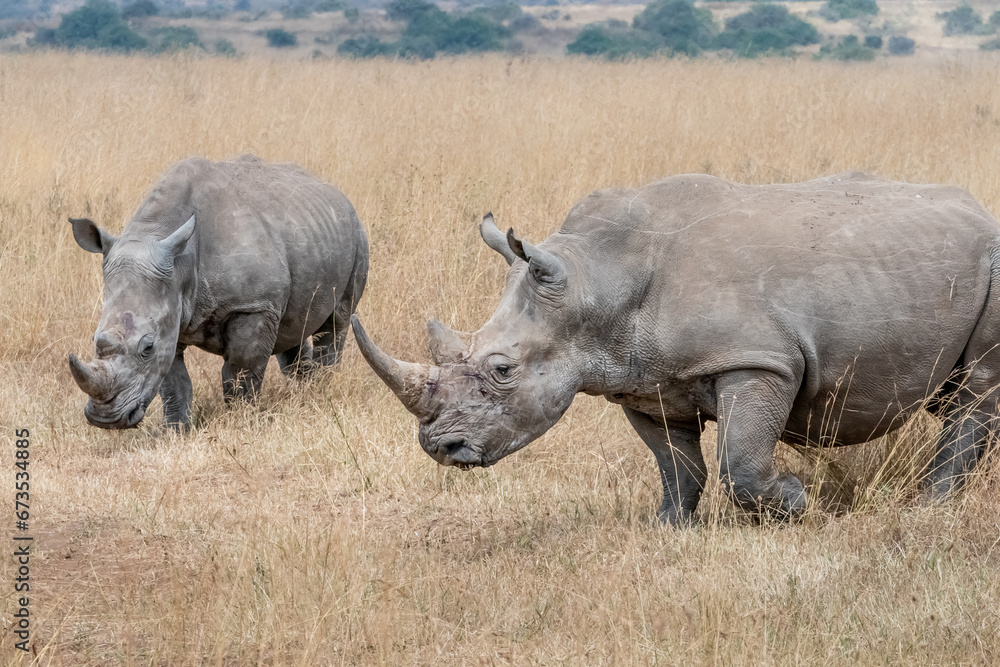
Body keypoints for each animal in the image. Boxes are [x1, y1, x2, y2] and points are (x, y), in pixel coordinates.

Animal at [69, 155, 368, 430]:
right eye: (94, 338)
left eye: (147, 347)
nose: (106, 419)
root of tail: (338, 195)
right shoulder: (171, 313)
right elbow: (174, 383)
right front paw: (175, 431)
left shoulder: (252, 306)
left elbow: (240, 373)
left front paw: (240, 422)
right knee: (293, 332)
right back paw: (304, 394)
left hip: (357, 235)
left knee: (337, 322)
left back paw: (323, 391)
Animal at [352, 172, 1000, 523]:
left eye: (502, 369)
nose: (441, 448)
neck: (594, 282)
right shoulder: (640, 381)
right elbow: (676, 465)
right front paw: (667, 525)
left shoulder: (760, 361)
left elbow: (740, 462)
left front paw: (796, 502)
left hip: (992, 264)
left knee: (975, 395)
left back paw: (931, 506)